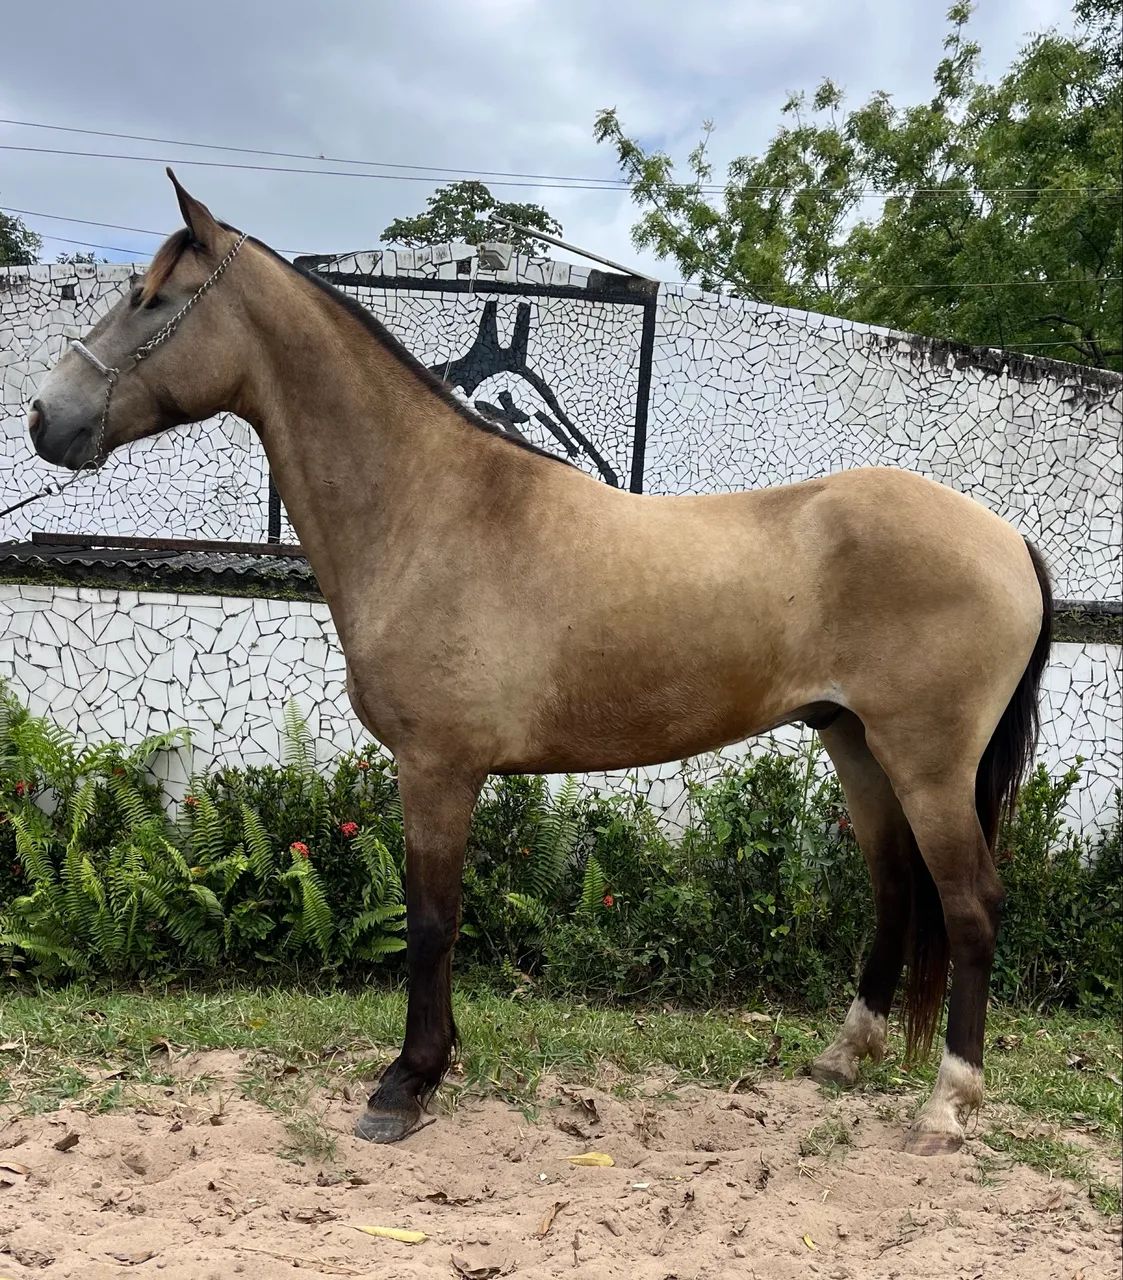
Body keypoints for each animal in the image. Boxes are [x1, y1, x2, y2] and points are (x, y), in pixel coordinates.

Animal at [27, 172, 1052, 1156]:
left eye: (155, 300)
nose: (45, 418)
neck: (433, 506)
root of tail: (1008, 539)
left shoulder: (437, 767)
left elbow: (430, 918)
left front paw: (406, 1084)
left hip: (926, 761)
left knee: (969, 906)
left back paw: (946, 1105)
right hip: (855, 745)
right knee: (894, 891)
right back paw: (843, 1056)